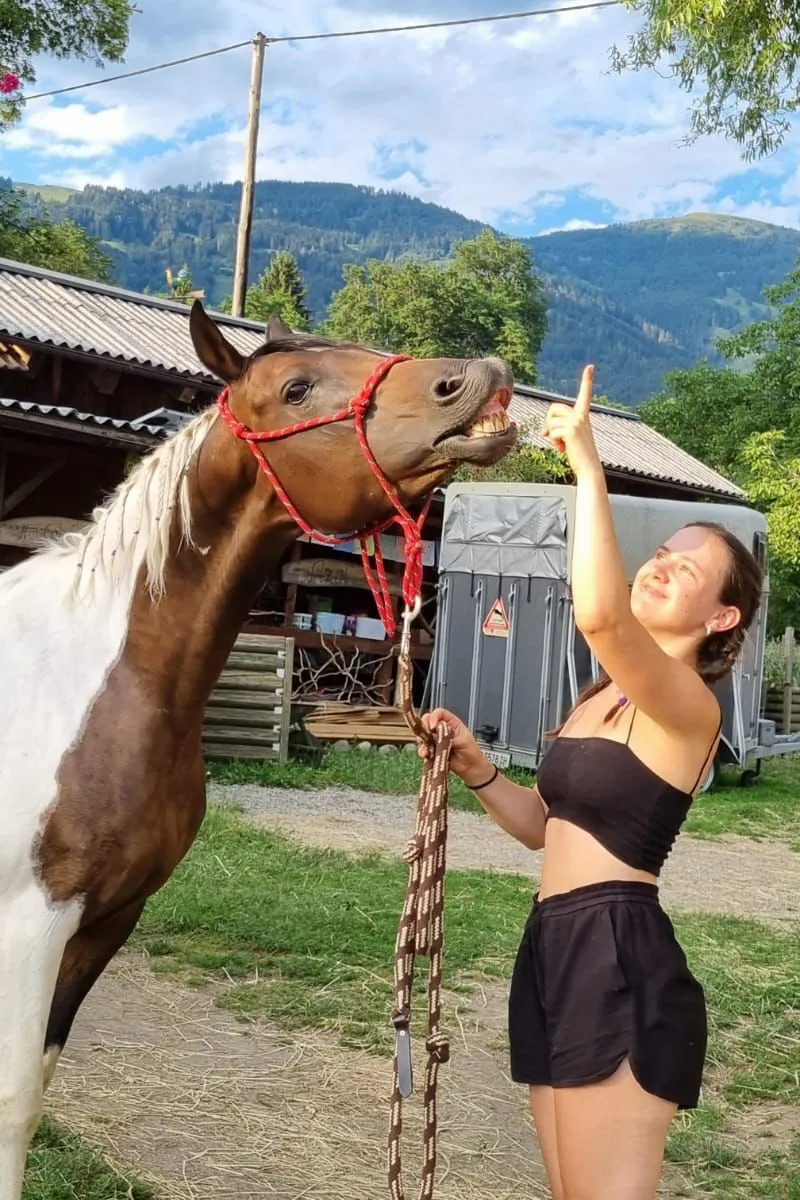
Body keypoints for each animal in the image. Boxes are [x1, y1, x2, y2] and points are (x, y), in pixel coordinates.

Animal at [0, 302, 516, 1197]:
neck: (87, 675)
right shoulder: (35, 919)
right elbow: (11, 1102)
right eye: (296, 387)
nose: (475, 378)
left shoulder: (108, 919)